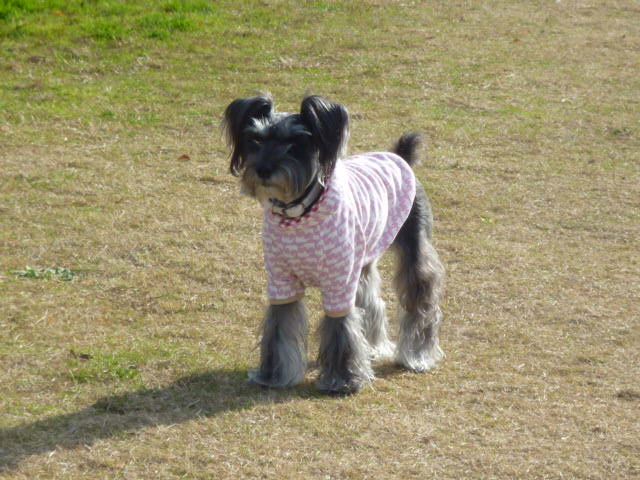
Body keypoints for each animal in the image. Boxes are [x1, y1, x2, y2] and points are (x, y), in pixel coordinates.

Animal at [223, 94, 445, 394]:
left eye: (296, 143)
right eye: (255, 139)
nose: (263, 169)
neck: (298, 214)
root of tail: (399, 156)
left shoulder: (339, 281)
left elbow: (340, 327)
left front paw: (343, 379)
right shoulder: (281, 282)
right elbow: (279, 327)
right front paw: (273, 374)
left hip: (414, 253)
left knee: (420, 302)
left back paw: (417, 355)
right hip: (363, 259)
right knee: (371, 301)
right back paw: (373, 347)